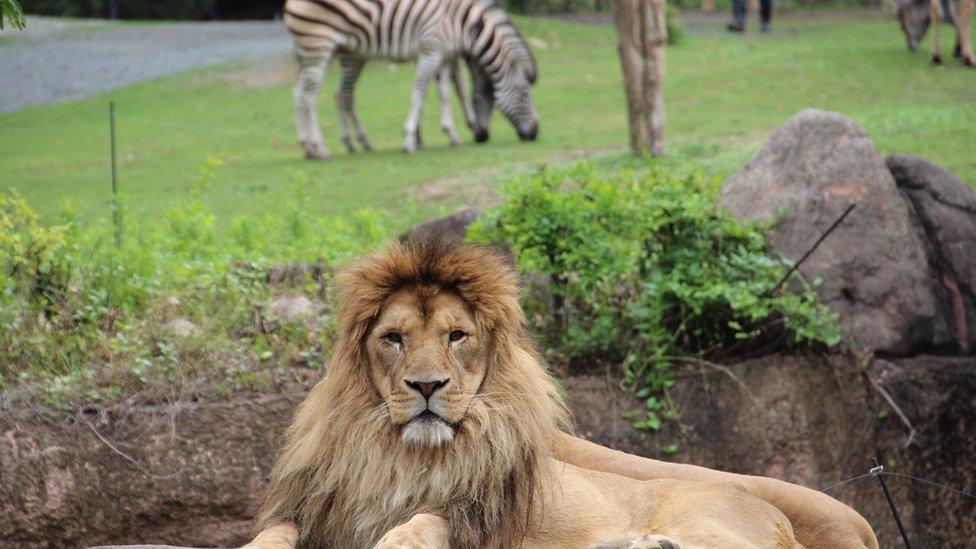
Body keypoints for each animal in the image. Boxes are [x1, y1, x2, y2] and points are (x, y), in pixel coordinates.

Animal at [242, 238, 876, 544]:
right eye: (393, 339)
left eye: (456, 336)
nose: (426, 385)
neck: (395, 454)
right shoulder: (317, 510)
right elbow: (276, 531)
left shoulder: (476, 515)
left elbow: (426, 521)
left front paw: (398, 541)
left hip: (709, 525)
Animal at [282, 0, 540, 158]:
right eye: (524, 93)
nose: (536, 133)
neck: (461, 22)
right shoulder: (430, 51)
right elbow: (420, 94)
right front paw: (410, 140)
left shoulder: (443, 56)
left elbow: (445, 93)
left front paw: (449, 134)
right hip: (320, 48)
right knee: (310, 96)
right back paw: (321, 148)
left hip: (324, 53)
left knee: (306, 93)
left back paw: (312, 147)